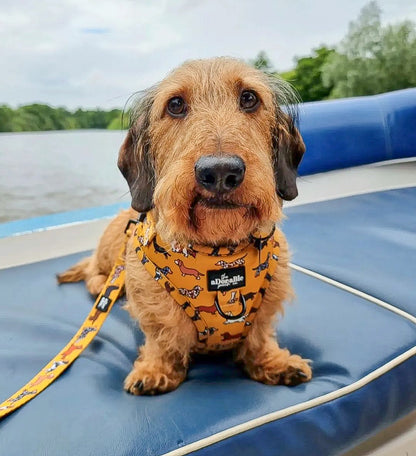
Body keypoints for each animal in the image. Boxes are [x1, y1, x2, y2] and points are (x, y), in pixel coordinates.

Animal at [57, 57, 312, 394]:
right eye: (176, 104)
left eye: (249, 98)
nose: (220, 172)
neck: (218, 251)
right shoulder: (152, 308)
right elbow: (162, 339)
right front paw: (156, 369)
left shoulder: (267, 300)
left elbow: (259, 337)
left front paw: (272, 361)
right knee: (92, 272)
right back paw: (103, 285)